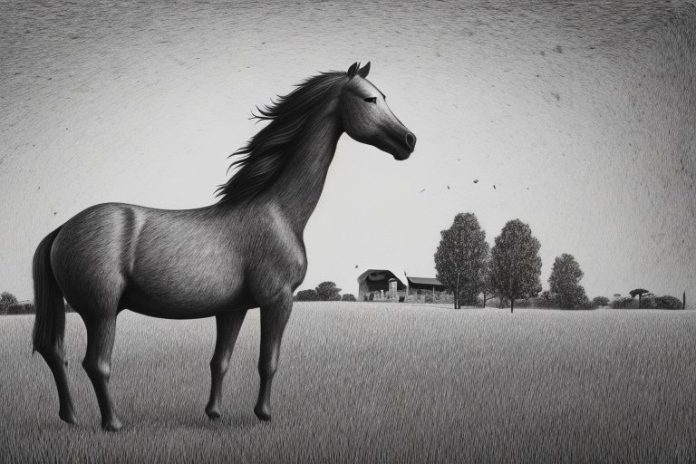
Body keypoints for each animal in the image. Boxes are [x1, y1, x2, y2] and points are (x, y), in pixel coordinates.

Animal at [32, 62, 416, 431]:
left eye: (383, 96)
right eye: (370, 99)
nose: (409, 140)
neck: (275, 211)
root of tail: (63, 229)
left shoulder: (233, 309)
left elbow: (221, 361)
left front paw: (214, 412)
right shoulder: (277, 301)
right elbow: (268, 361)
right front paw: (263, 414)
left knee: (56, 353)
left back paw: (71, 417)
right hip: (102, 312)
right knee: (96, 364)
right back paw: (112, 423)